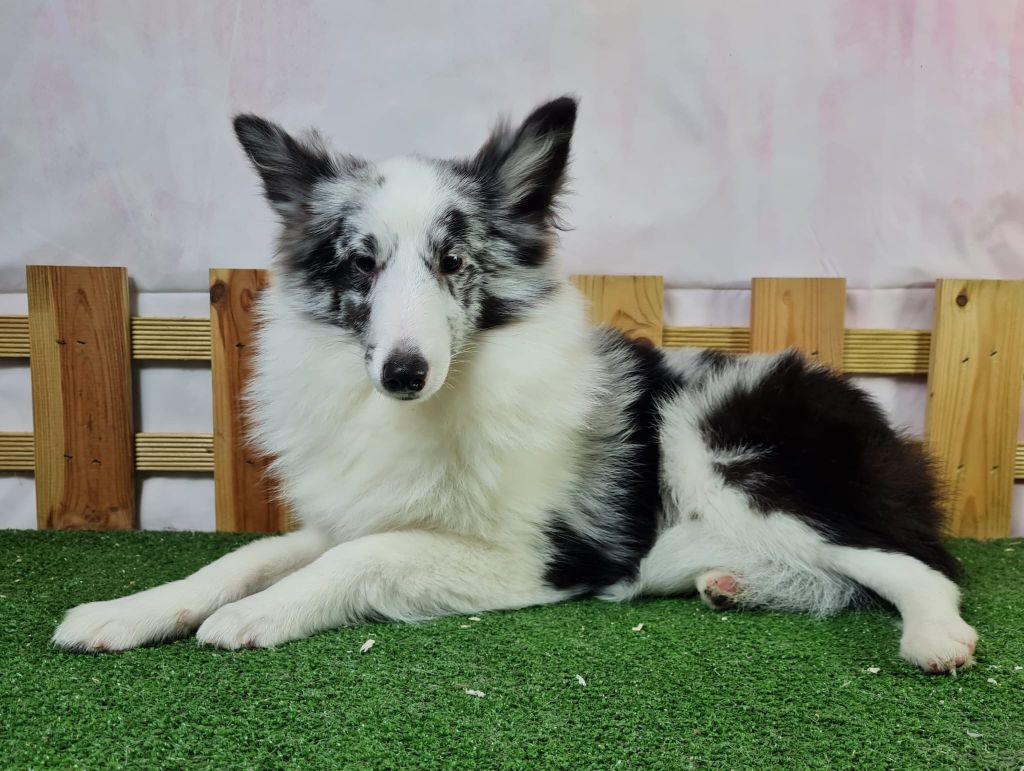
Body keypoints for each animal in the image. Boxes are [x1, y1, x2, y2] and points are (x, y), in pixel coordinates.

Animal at [51, 97, 978, 671]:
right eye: (362, 262)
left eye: (454, 260)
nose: (404, 372)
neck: (436, 407)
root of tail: (874, 418)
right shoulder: (356, 510)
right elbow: (245, 555)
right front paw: (126, 610)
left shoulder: (538, 557)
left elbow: (363, 554)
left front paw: (257, 615)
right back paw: (734, 584)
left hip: (730, 456)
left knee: (921, 568)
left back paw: (936, 639)